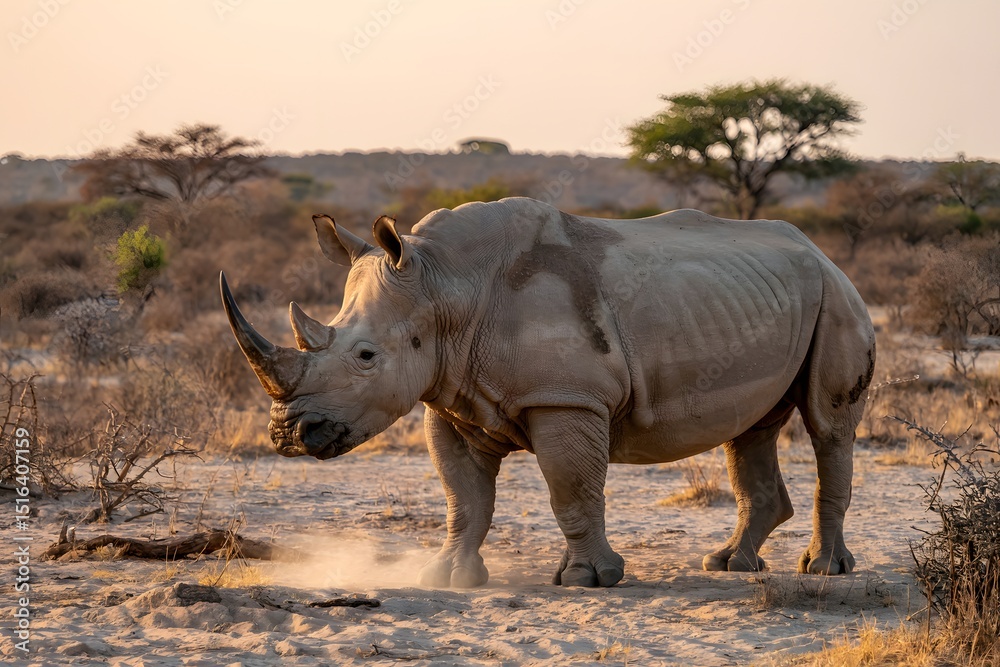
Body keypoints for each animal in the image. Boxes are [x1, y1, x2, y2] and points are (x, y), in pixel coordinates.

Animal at [220, 197, 875, 588]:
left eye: (365, 357)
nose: (287, 435)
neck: (445, 287)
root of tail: (820, 251)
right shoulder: (448, 397)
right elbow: (465, 499)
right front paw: (448, 578)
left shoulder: (566, 397)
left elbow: (571, 490)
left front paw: (588, 580)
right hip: (762, 298)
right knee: (751, 430)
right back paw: (729, 565)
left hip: (839, 296)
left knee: (828, 426)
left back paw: (823, 570)